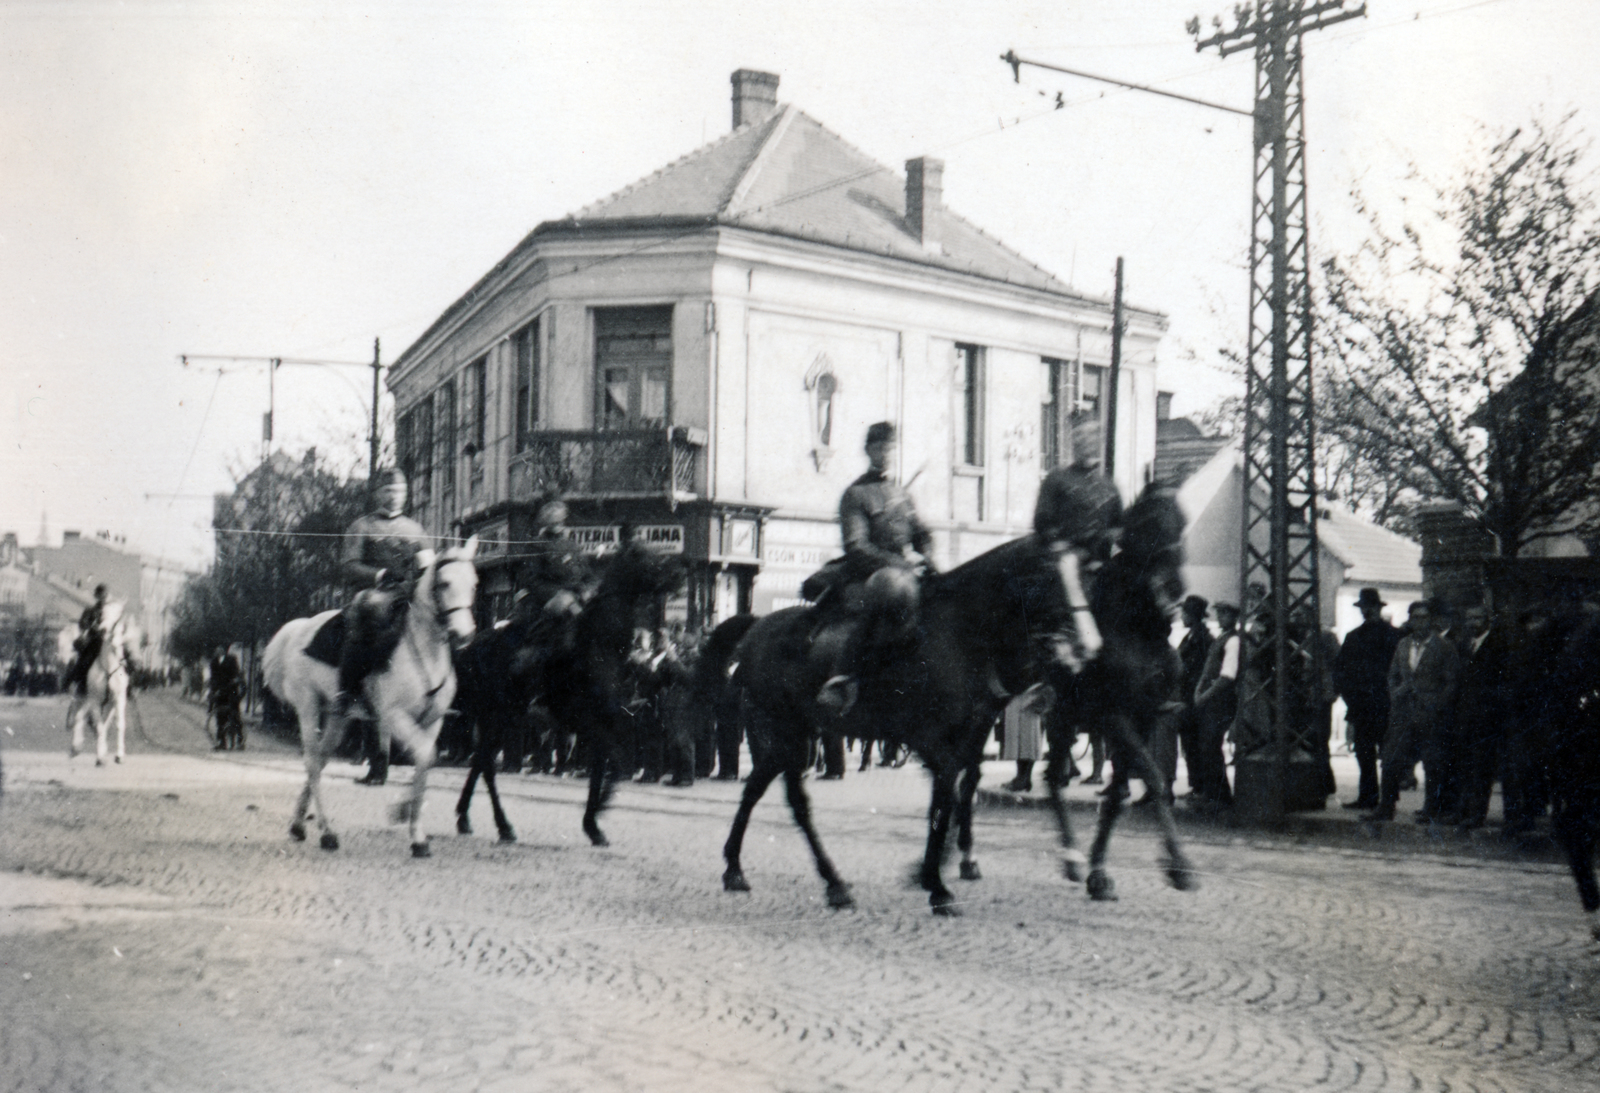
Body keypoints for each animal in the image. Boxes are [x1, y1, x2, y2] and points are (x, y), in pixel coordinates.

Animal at [66, 598, 131, 768]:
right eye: (102, 613)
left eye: (118, 615)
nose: (102, 630)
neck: (108, 667)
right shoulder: (95, 700)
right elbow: (99, 726)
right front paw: (101, 757)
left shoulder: (119, 699)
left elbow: (119, 724)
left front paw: (119, 756)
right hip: (85, 698)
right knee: (79, 716)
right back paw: (76, 746)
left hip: (105, 704)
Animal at [259, 544, 473, 857]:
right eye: (444, 583)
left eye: (474, 584)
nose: (464, 634)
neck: (425, 651)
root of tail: (299, 629)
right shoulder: (394, 716)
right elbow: (424, 755)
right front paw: (404, 815)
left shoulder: (433, 721)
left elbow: (426, 760)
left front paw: (414, 827)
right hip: (308, 707)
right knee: (312, 762)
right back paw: (327, 833)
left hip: (338, 716)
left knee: (320, 761)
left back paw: (299, 825)